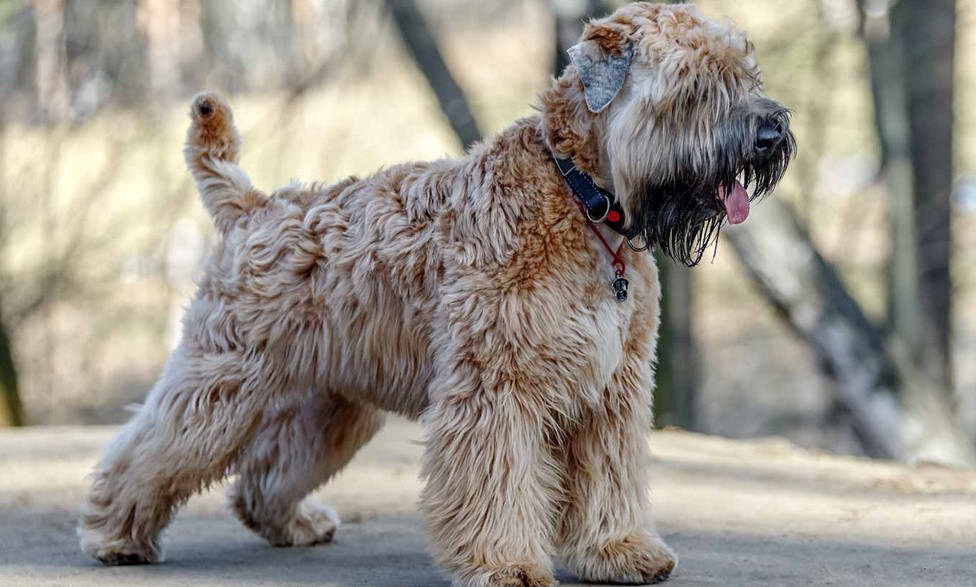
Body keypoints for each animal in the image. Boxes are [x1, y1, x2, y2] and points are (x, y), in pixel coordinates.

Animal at [76, 2, 792, 584]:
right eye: (695, 85)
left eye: (745, 73)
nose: (773, 132)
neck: (582, 200)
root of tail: (253, 207)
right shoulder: (496, 385)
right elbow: (497, 483)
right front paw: (505, 564)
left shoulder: (611, 389)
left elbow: (608, 477)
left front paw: (617, 550)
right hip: (222, 382)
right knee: (150, 449)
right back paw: (114, 535)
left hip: (331, 402)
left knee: (266, 474)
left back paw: (294, 524)